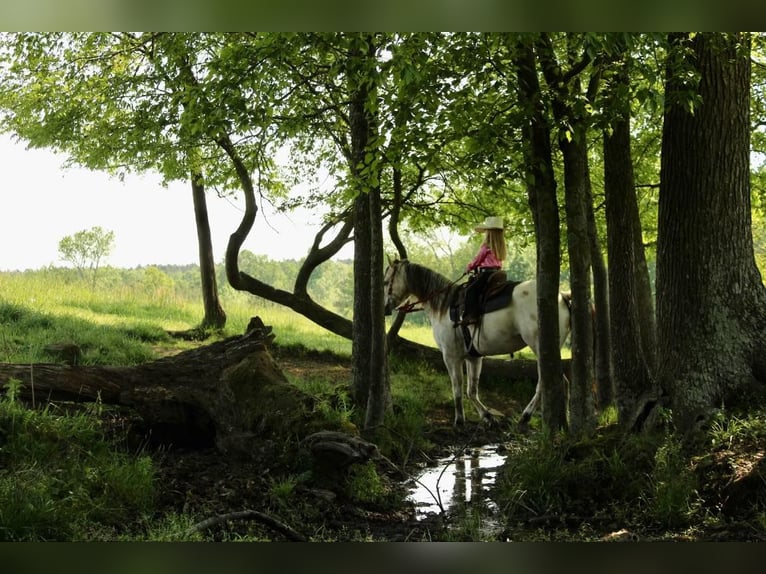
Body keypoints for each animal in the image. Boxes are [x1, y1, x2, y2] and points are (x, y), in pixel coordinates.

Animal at [384, 260, 568, 428]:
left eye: (386, 281)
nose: (386, 308)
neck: (443, 306)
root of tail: (562, 297)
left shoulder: (450, 357)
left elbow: (457, 388)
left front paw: (459, 420)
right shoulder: (473, 357)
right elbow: (471, 390)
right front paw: (487, 416)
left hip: (540, 348)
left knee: (547, 383)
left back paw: (526, 416)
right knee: (560, 382)